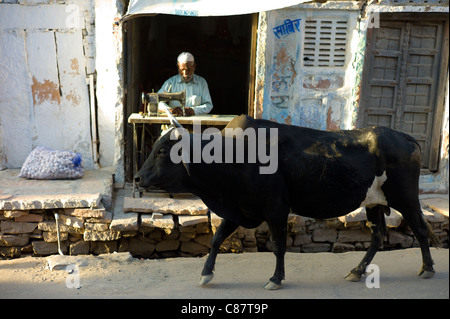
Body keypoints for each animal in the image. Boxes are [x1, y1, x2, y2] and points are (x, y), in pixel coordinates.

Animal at [134, 114, 440, 290]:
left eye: (161, 151)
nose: (137, 178)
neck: (233, 156)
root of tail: (404, 137)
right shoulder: (239, 209)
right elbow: (216, 239)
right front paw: (206, 274)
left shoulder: (276, 209)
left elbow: (278, 245)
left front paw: (275, 279)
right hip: (373, 203)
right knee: (377, 237)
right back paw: (356, 271)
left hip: (406, 198)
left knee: (419, 229)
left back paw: (427, 269)